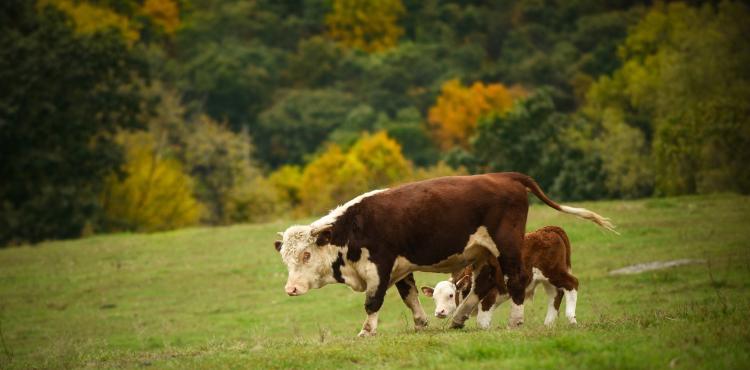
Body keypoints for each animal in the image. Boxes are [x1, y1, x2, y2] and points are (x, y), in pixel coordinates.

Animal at [426, 225, 580, 330]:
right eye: (434, 298)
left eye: (451, 295)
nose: (439, 312)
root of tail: (548, 229)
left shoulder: (490, 296)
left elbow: (482, 323)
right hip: (546, 279)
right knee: (555, 295)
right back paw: (548, 324)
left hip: (554, 272)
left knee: (572, 284)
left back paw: (571, 319)